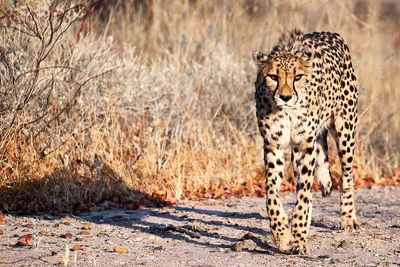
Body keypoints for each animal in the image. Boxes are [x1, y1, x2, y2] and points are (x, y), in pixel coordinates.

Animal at [255, 30, 360, 254]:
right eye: (273, 76)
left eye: (298, 77)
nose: (285, 97)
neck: (286, 112)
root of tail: (331, 34)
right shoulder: (273, 145)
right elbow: (272, 194)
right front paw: (283, 235)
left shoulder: (305, 145)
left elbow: (303, 195)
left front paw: (299, 237)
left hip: (345, 130)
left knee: (346, 175)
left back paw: (348, 218)